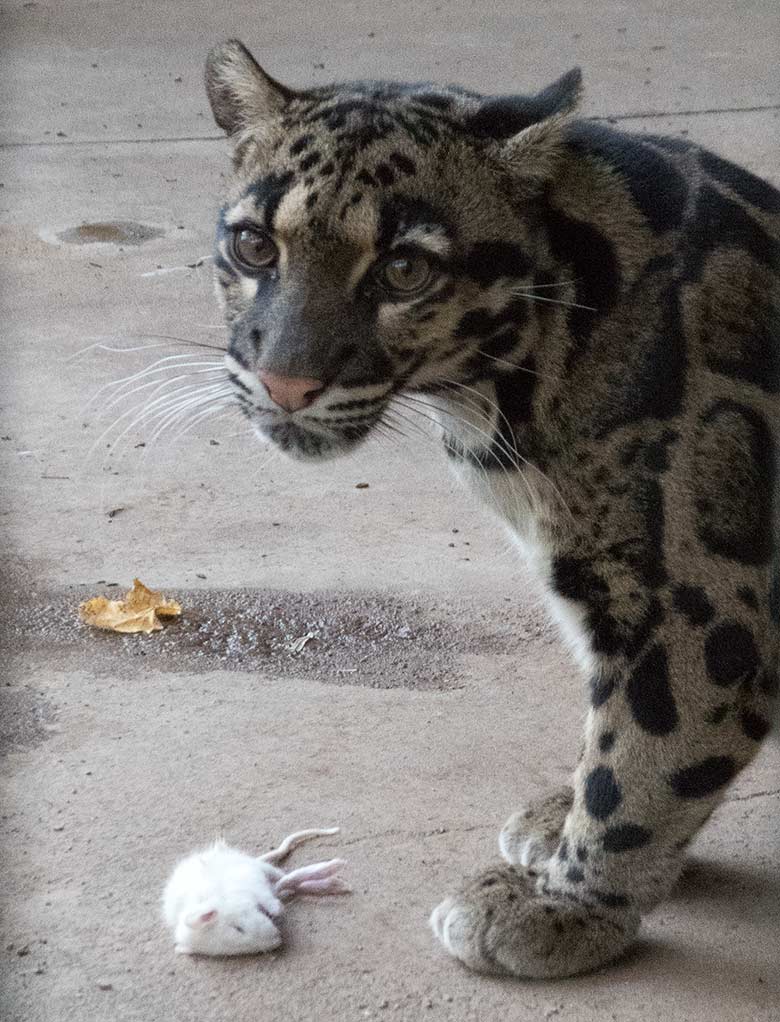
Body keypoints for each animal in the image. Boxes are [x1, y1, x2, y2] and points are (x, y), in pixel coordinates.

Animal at [202, 39, 780, 977]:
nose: (286, 382)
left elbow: (648, 753)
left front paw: (569, 905)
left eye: (404, 269)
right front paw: (567, 825)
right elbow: (616, 730)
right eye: (255, 247)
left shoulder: (706, 604)